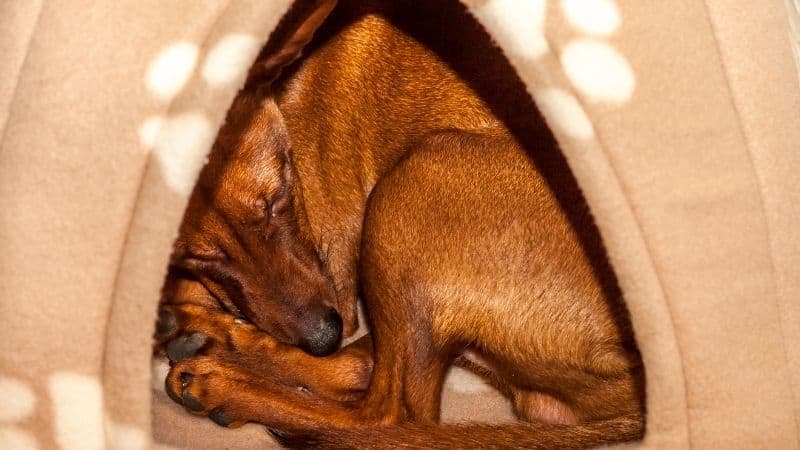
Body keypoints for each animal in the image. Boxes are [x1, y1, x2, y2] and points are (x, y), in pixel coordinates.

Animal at [155, 0, 645, 447]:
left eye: (279, 196)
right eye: (195, 256)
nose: (322, 336)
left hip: (413, 183)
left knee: (387, 418)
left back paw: (224, 383)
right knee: (357, 368)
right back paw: (204, 337)